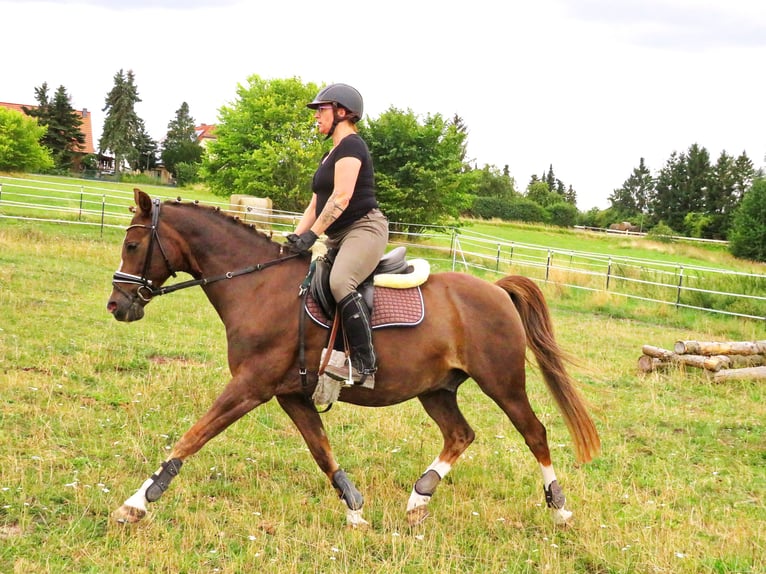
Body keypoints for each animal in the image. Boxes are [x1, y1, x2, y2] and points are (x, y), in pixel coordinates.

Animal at [107, 189, 600, 528]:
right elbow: (322, 450)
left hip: (502, 382)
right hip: (436, 389)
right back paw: (418, 499)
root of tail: (497, 289)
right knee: (460, 434)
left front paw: (137, 502)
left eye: (132, 246)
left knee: (534, 433)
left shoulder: (250, 386)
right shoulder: (290, 394)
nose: (117, 305)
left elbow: (193, 436)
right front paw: (355, 511)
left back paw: (559, 509)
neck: (258, 286)